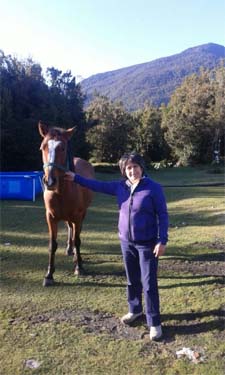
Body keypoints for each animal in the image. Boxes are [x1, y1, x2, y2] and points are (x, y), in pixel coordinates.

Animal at [38, 122, 94, 286]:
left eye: (62, 148)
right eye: (43, 147)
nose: (50, 181)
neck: (61, 191)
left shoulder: (78, 216)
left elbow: (78, 240)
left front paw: (79, 267)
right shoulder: (50, 218)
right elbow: (53, 245)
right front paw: (49, 275)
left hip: (81, 215)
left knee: (76, 233)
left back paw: (75, 254)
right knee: (70, 228)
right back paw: (69, 249)